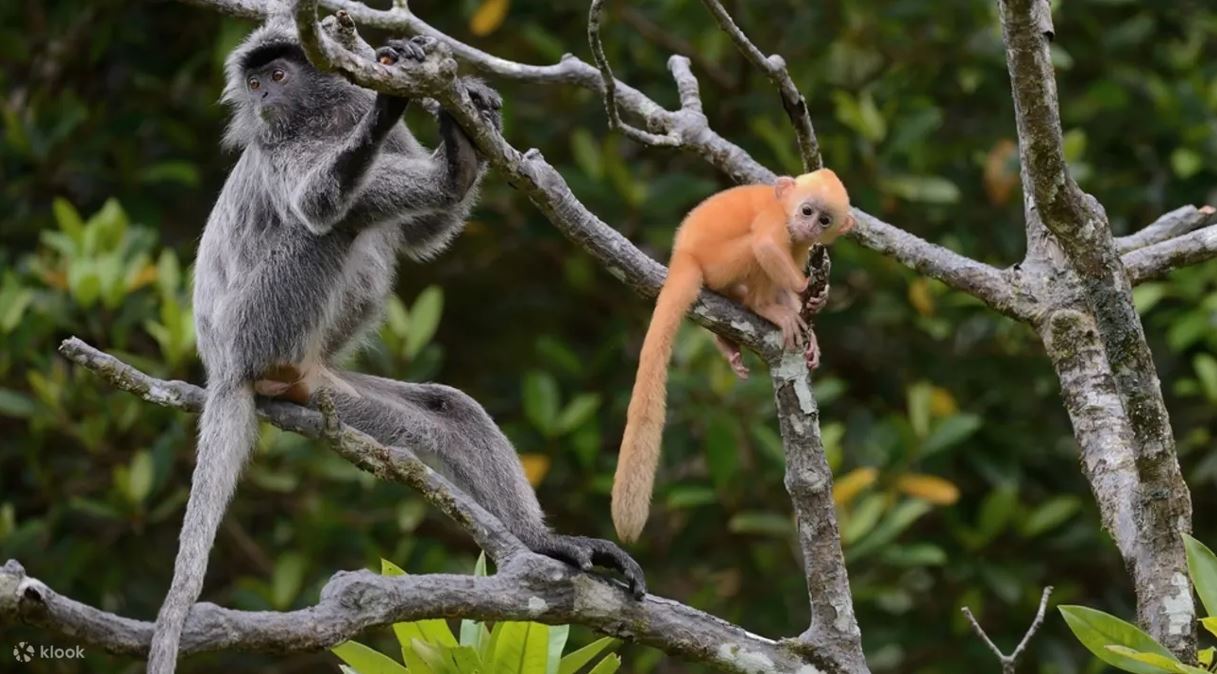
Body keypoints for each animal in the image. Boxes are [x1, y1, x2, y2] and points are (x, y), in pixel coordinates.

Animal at [147, 18, 644, 674]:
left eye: (276, 75)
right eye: (254, 84)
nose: (263, 98)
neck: (323, 119)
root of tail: (224, 369)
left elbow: (421, 236)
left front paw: (458, 126)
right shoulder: (279, 148)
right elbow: (317, 204)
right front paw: (396, 113)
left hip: (328, 389)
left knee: (449, 412)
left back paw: (546, 543)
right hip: (255, 328)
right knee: (335, 221)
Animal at [611, 169, 854, 542]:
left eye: (824, 219)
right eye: (807, 210)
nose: (809, 226)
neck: (783, 207)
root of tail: (683, 254)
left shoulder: (805, 244)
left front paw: (812, 326)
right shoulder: (775, 219)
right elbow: (766, 245)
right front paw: (804, 293)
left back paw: (730, 339)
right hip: (720, 262)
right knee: (755, 251)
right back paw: (763, 307)